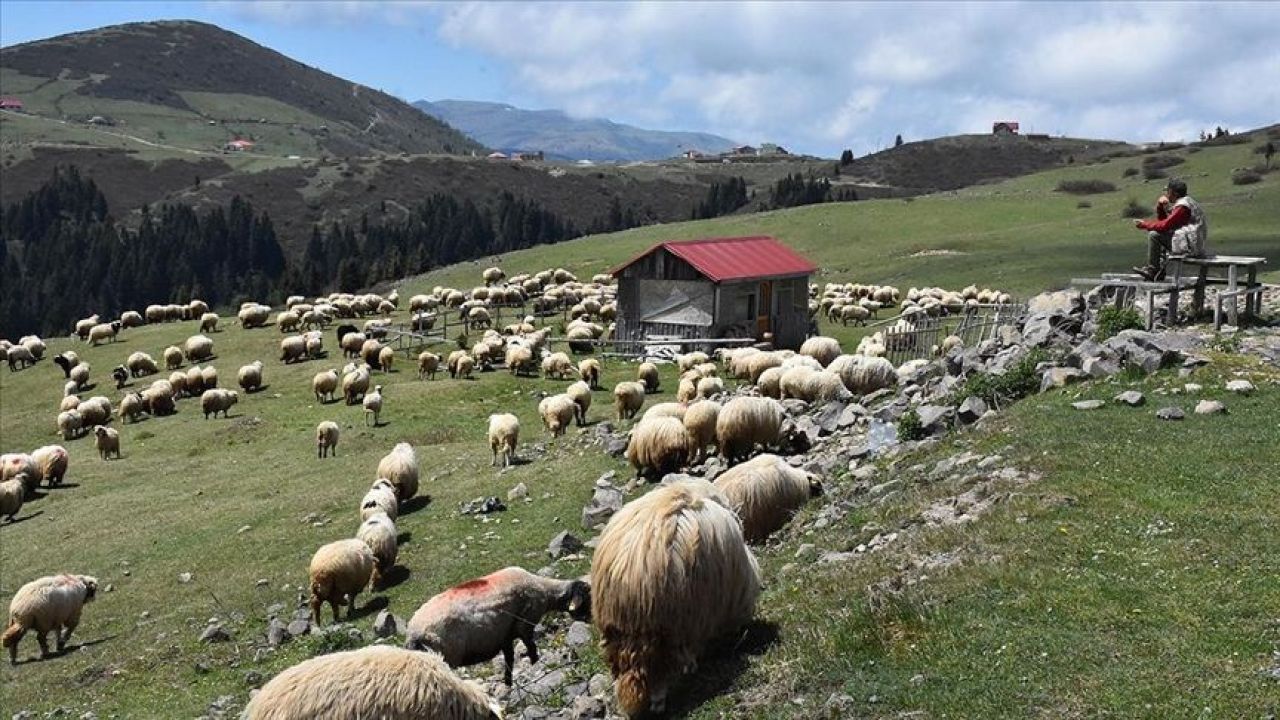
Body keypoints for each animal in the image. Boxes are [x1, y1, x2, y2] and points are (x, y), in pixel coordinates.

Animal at [404, 563, 588, 681]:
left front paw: (508, 684)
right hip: (446, 655)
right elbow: (532, 649)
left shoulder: (505, 636)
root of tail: (413, 633)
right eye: (588, 596)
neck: (545, 591)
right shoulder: (525, 625)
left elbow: (509, 661)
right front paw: (535, 665)